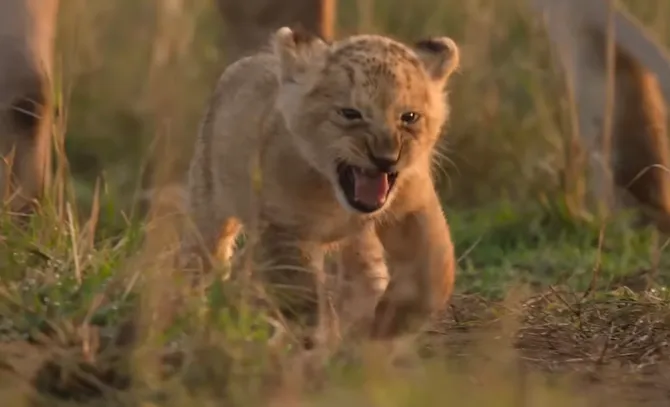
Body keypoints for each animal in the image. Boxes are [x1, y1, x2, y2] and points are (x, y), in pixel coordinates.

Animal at [180, 26, 459, 342]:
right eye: (350, 113)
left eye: (409, 117)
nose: (386, 159)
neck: (334, 194)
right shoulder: (284, 227)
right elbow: (301, 293)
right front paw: (317, 340)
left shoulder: (412, 206)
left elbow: (436, 268)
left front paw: (391, 323)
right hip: (208, 201)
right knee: (201, 256)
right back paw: (189, 314)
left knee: (366, 271)